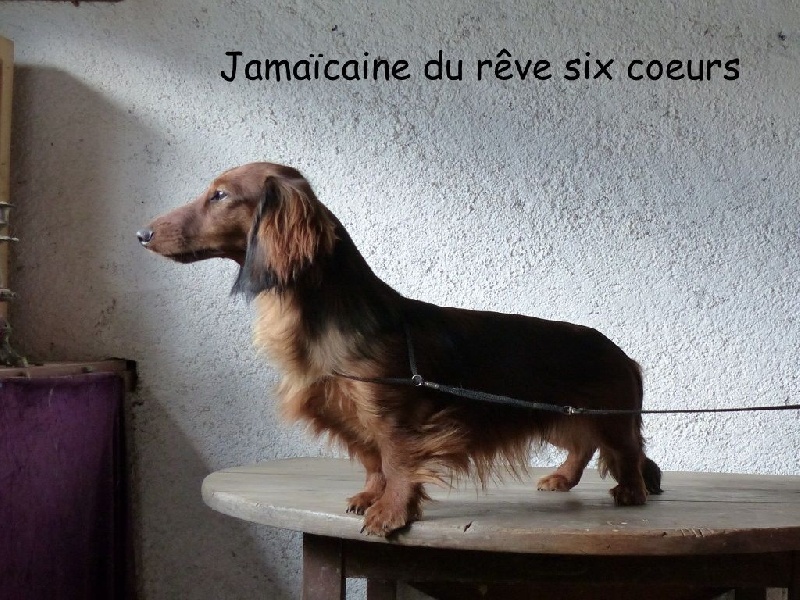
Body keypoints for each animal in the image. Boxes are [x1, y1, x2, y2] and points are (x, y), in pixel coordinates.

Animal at [137, 162, 662, 536]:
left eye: (220, 195)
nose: (141, 234)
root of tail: (623, 354)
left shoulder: (395, 414)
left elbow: (396, 460)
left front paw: (391, 512)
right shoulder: (349, 411)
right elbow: (373, 461)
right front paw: (370, 496)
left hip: (607, 416)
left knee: (626, 450)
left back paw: (632, 490)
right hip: (562, 416)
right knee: (586, 446)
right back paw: (563, 478)